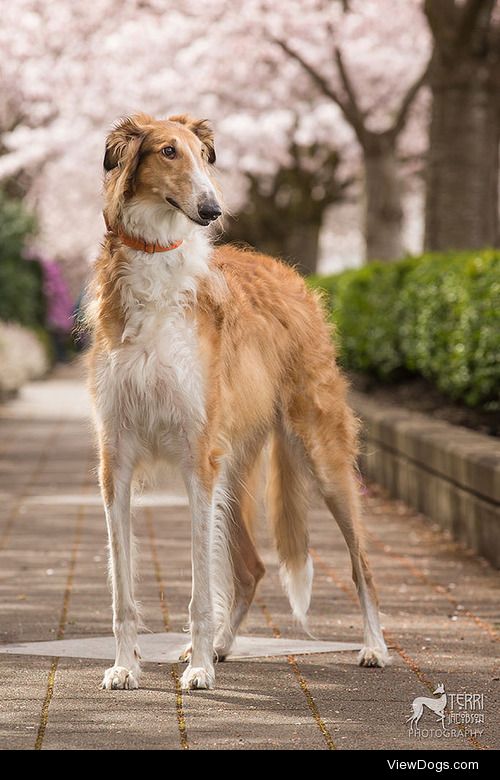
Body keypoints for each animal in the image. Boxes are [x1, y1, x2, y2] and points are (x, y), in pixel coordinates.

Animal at [87, 112, 390, 692]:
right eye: (167, 151)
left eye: (205, 155)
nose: (212, 210)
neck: (157, 264)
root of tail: (289, 273)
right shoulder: (116, 459)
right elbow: (120, 590)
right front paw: (125, 667)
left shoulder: (196, 458)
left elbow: (200, 590)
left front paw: (199, 671)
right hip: (231, 472)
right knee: (252, 568)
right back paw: (224, 645)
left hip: (320, 455)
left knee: (362, 561)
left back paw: (373, 647)